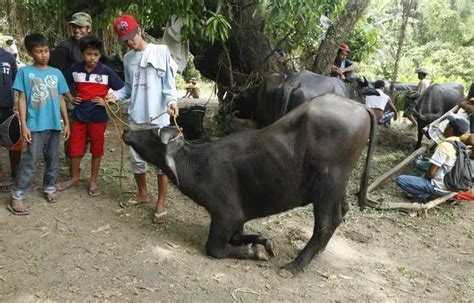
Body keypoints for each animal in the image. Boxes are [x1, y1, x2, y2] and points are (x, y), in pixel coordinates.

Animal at [124, 95, 376, 278]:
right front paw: (264, 241)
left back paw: (293, 266)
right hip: (338, 186)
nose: (127, 131)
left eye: (151, 132)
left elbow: (215, 248)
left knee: (327, 222)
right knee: (342, 211)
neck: (199, 164)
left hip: (328, 186)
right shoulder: (239, 218)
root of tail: (359, 105)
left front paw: (256, 251)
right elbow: (239, 237)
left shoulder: (225, 214)